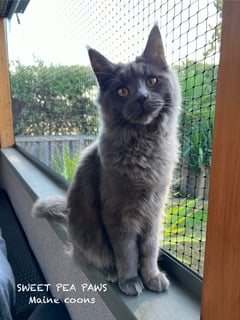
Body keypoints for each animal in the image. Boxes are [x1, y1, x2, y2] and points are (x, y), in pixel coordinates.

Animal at [32, 23, 181, 296]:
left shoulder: (154, 210)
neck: (144, 146)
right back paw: (112, 272)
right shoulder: (118, 213)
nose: (142, 97)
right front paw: (130, 280)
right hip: (86, 237)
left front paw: (152, 276)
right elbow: (127, 252)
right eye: (122, 91)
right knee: (89, 256)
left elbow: (150, 248)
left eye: (152, 81)